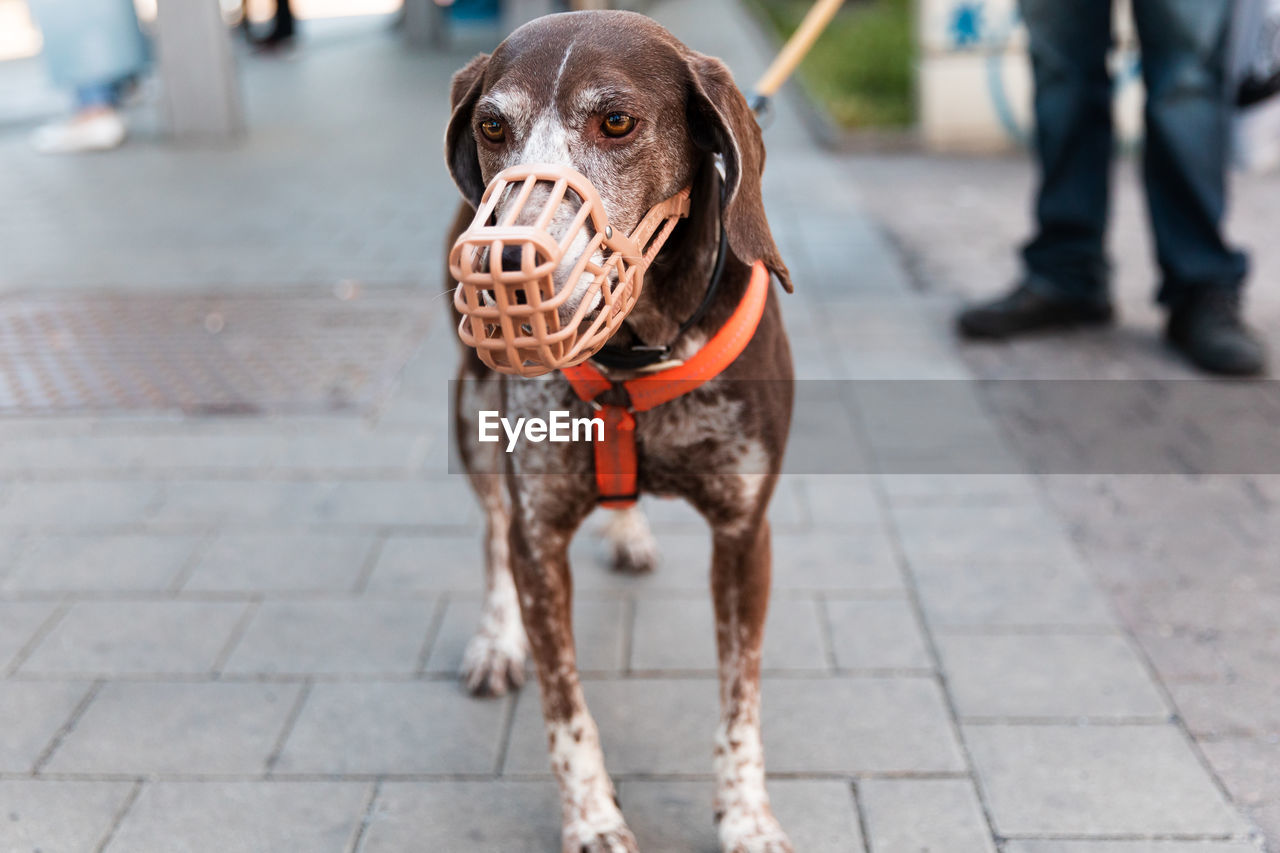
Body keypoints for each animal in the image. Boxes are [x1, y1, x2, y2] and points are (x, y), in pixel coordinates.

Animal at [445, 8, 793, 850]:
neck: (635, 351)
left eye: (615, 122)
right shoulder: (539, 541)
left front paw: (746, 815)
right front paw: (594, 818)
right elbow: (566, 710)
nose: (503, 262)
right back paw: (495, 640)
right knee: (490, 528)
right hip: (471, 416)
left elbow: (740, 701)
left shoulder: (745, 534)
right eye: (492, 125)